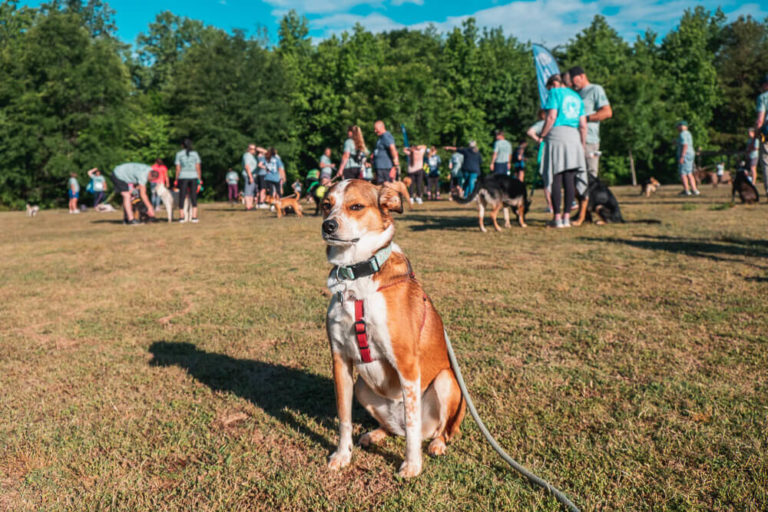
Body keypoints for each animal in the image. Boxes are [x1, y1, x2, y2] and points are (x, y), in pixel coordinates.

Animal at [320, 179, 464, 476]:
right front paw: (342, 455)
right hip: (362, 386)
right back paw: (375, 434)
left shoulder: (406, 364)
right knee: (394, 429)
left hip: (446, 381)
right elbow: (344, 418)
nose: (327, 225)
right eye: (326, 205)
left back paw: (436, 444)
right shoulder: (340, 360)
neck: (356, 277)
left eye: (356, 206)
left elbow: (411, 424)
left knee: (433, 430)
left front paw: (412, 465)